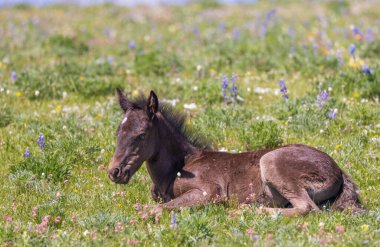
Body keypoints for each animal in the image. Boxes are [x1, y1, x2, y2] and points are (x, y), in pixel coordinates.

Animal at [108, 89, 364, 215]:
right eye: (117, 132)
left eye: (141, 134)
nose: (114, 172)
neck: (177, 168)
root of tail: (340, 172)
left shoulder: (209, 192)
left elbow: (159, 207)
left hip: (271, 161)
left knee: (306, 208)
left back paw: (243, 211)